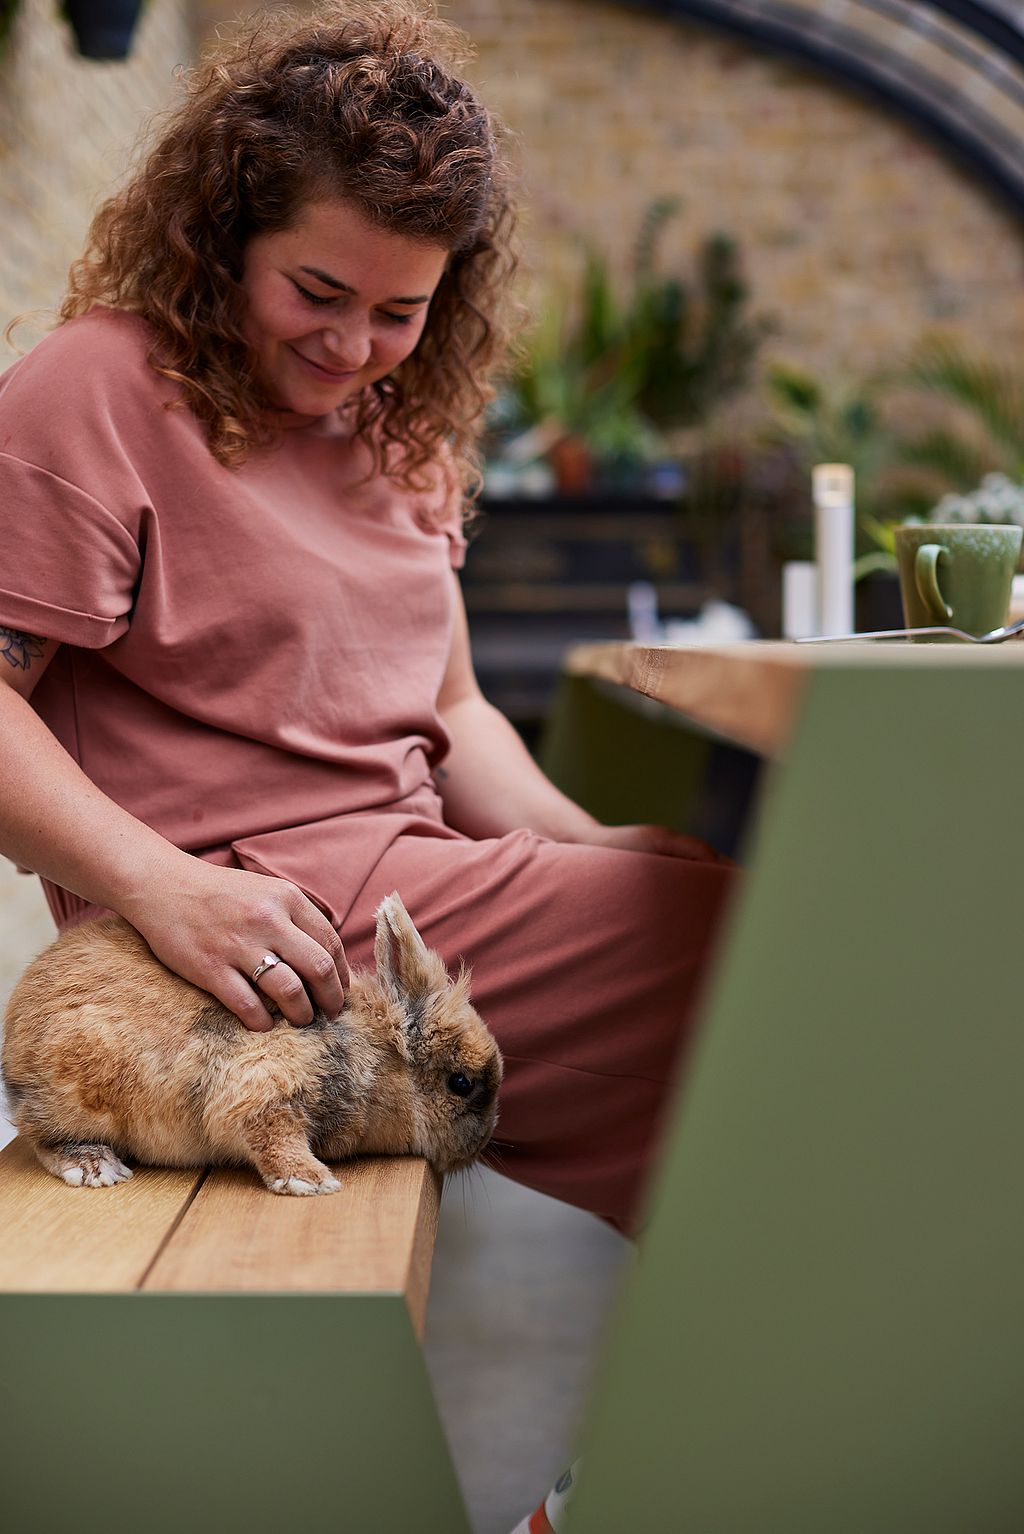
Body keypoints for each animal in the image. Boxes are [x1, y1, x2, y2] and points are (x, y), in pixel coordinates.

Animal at [1, 891, 502, 1195]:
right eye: (461, 1084)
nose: (479, 1146)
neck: (371, 1054)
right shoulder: (264, 1085)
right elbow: (270, 1135)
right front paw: (311, 1183)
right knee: (41, 1138)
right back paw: (95, 1167)